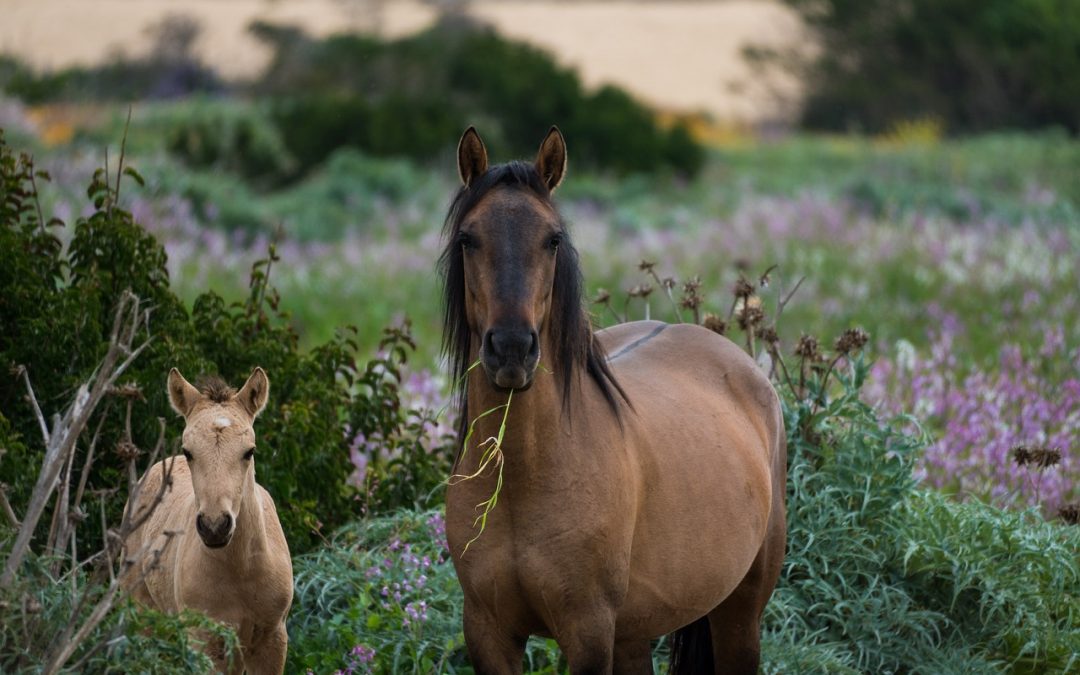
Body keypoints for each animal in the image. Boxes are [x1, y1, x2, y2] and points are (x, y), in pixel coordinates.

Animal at [123, 369, 291, 673]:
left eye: (249, 451)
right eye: (189, 451)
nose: (215, 527)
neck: (242, 570)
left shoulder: (272, 638)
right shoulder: (205, 639)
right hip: (142, 613)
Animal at [438, 127, 786, 673]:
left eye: (553, 240)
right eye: (468, 239)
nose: (512, 348)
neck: (522, 479)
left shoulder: (589, 633)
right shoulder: (488, 632)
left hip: (740, 614)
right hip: (634, 631)